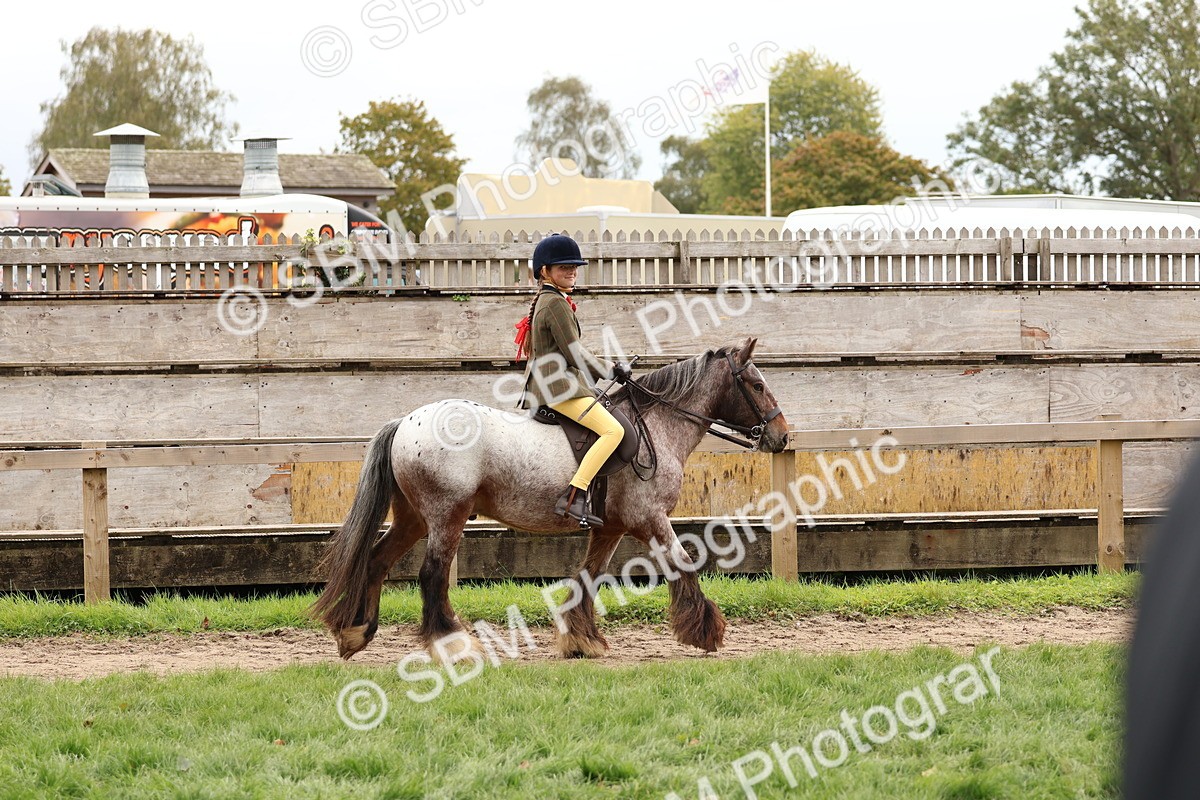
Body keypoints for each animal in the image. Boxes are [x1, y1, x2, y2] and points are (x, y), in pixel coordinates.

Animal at [311, 337, 789, 661]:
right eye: (755, 384)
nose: (782, 437)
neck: (657, 425)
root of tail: (406, 420)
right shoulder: (650, 518)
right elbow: (683, 562)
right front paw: (704, 632)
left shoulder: (612, 528)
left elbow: (589, 577)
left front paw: (581, 640)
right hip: (447, 515)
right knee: (432, 574)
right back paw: (452, 643)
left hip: (413, 518)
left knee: (377, 560)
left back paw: (356, 633)